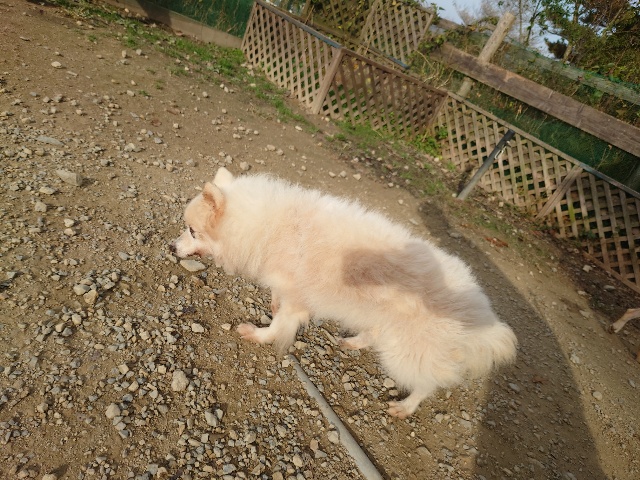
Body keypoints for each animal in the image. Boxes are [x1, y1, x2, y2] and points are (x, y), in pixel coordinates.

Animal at [170, 167, 518, 418]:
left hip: (405, 351)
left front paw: (259, 335)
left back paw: (405, 407)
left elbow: (279, 326)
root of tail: (482, 314)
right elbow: (278, 305)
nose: (172, 247)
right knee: (374, 334)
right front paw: (271, 307)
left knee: (428, 383)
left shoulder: (297, 297)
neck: (265, 227)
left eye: (192, 231)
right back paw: (353, 342)